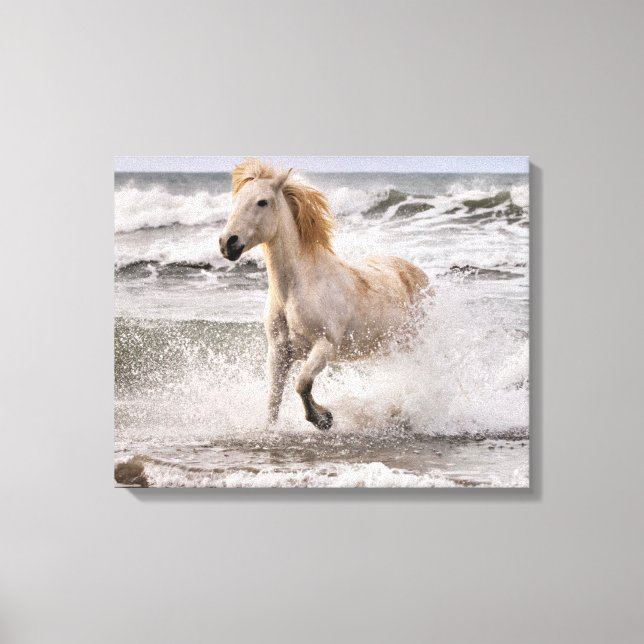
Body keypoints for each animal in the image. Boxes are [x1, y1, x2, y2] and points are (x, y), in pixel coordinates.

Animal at [219, 159, 430, 430]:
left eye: (262, 202)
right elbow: (274, 399)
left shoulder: (324, 347)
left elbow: (302, 383)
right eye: (236, 200)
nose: (227, 243)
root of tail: (417, 273)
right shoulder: (279, 353)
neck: (296, 290)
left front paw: (323, 419)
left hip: (414, 343)